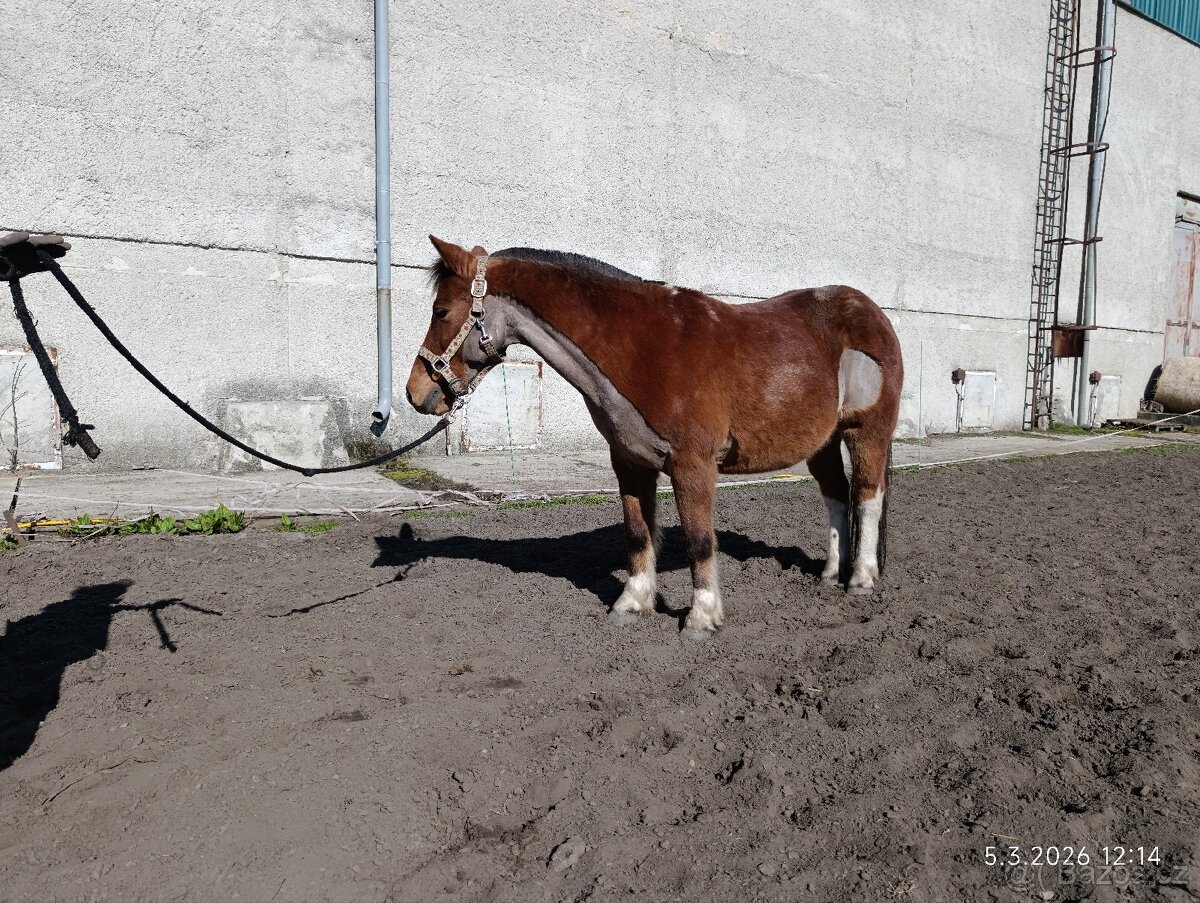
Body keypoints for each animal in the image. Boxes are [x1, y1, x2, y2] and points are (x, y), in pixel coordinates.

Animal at [406, 236, 904, 639]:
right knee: (837, 495)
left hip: (868, 431)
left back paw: (860, 579)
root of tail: (873, 314)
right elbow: (637, 533)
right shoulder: (629, 461)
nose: (415, 393)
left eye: (440, 311)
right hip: (823, 442)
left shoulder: (692, 464)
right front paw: (632, 603)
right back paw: (829, 574)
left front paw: (701, 618)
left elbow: (699, 540)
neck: (642, 348)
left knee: (867, 496)